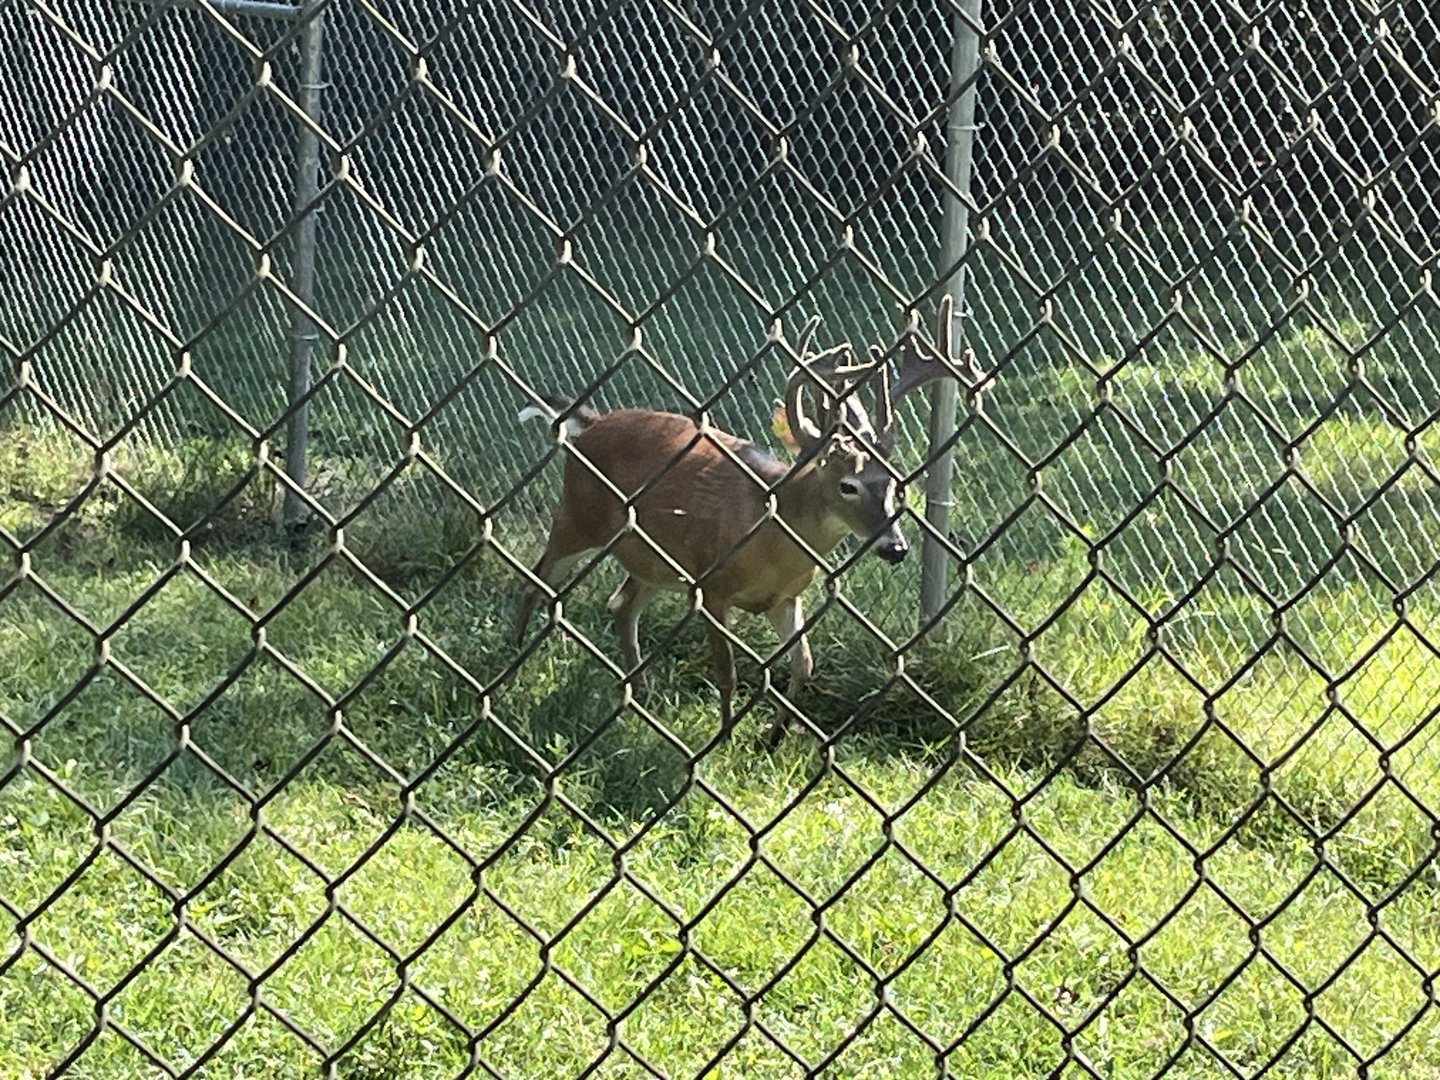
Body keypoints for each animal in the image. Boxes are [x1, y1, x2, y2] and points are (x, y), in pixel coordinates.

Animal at [513, 296, 987, 740]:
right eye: (847, 486)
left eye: (894, 483)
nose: (896, 547)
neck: (770, 533)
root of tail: (590, 423)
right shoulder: (711, 585)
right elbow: (727, 671)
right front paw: (725, 735)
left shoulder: (786, 597)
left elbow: (804, 664)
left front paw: (773, 736)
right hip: (578, 515)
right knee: (536, 580)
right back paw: (515, 661)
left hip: (652, 559)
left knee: (621, 604)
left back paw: (639, 693)